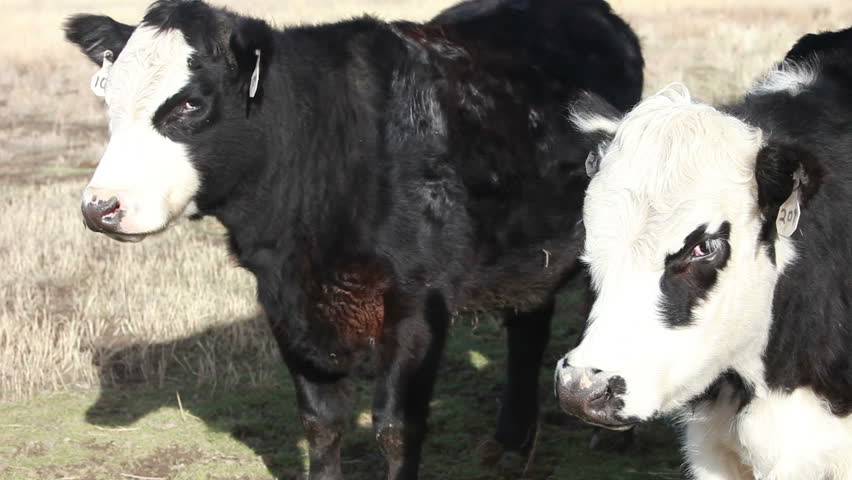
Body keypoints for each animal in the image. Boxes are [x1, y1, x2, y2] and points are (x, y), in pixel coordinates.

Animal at [63, 0, 643, 478]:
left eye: (189, 104)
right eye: (109, 99)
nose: (100, 207)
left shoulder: (416, 303)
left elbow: (395, 427)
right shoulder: (285, 302)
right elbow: (320, 421)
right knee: (528, 326)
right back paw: (509, 446)